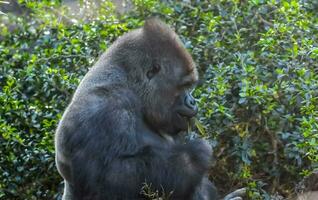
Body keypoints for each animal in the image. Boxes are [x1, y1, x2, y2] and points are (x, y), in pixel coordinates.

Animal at [55, 18, 243, 200]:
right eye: (184, 85)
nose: (192, 101)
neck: (131, 86)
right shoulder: (100, 111)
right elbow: (107, 180)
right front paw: (195, 155)